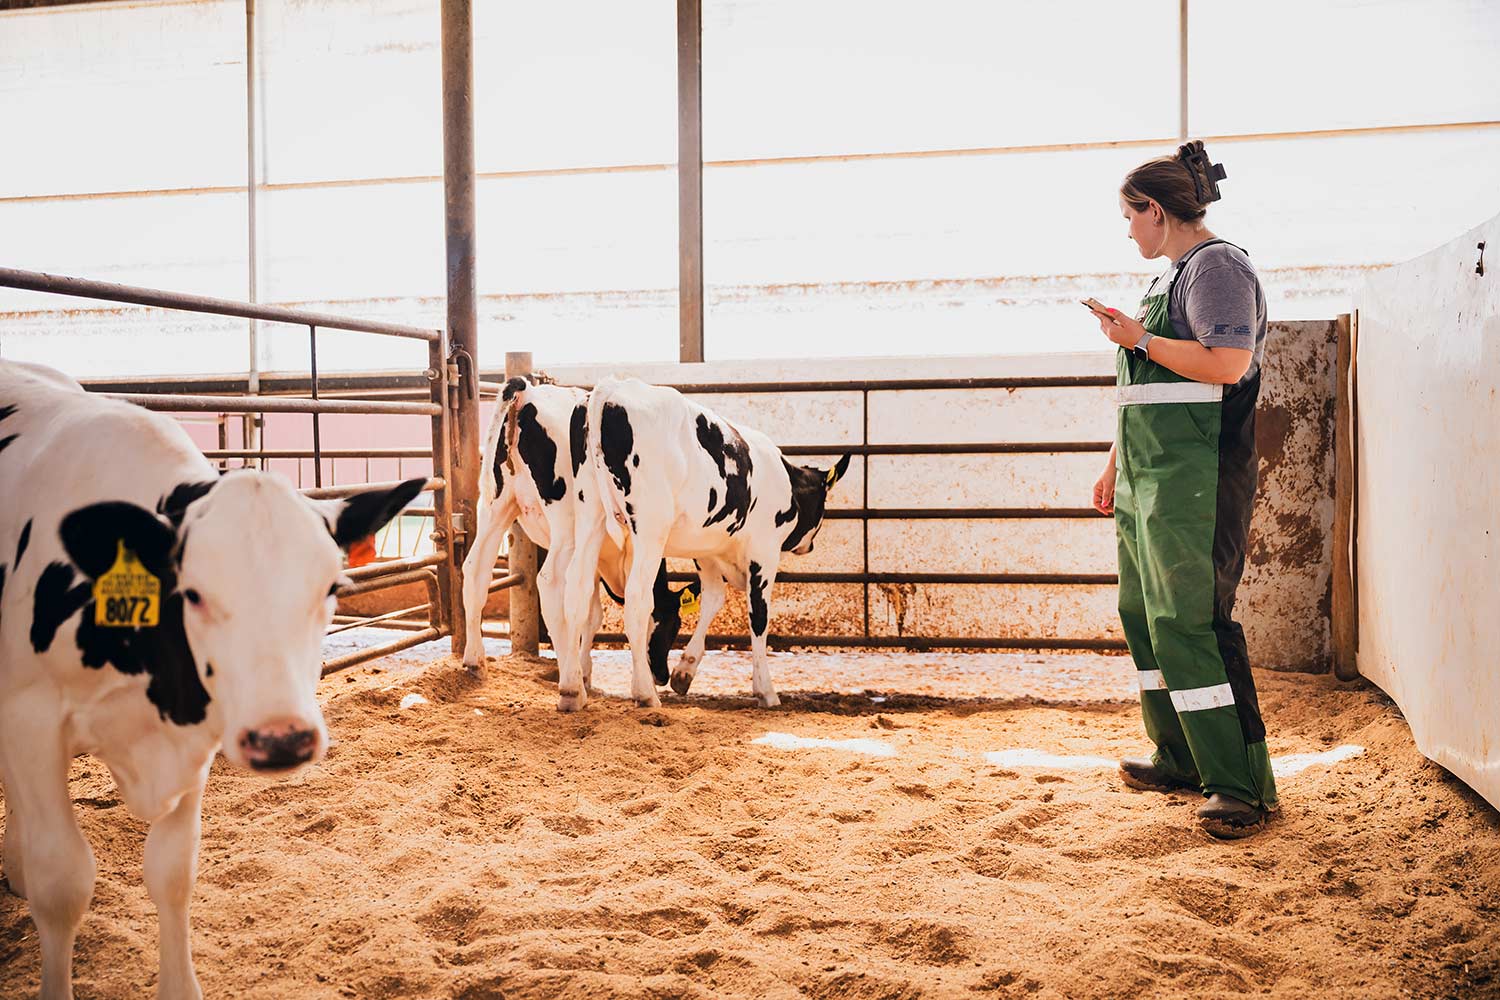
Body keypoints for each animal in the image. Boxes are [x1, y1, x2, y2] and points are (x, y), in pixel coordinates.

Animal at [0, 360, 425, 1000]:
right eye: (193, 593)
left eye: (331, 587)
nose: (282, 738)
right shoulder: (30, 721)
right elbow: (63, 884)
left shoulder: (198, 731)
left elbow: (173, 871)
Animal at [460, 375, 698, 711]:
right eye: (673, 625)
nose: (662, 676)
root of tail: (528, 393)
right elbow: (596, 611)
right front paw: (585, 674)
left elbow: (587, 609)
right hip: (564, 522)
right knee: (549, 582)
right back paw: (571, 685)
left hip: (496, 506)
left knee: (476, 571)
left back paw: (475, 661)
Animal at [564, 376, 850, 710]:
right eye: (823, 504)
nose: (810, 546)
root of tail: (612, 388)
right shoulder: (764, 553)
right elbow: (759, 616)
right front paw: (766, 690)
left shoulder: (707, 552)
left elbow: (713, 599)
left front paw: (685, 671)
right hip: (650, 528)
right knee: (637, 599)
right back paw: (645, 693)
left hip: (589, 517)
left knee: (576, 591)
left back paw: (571, 691)